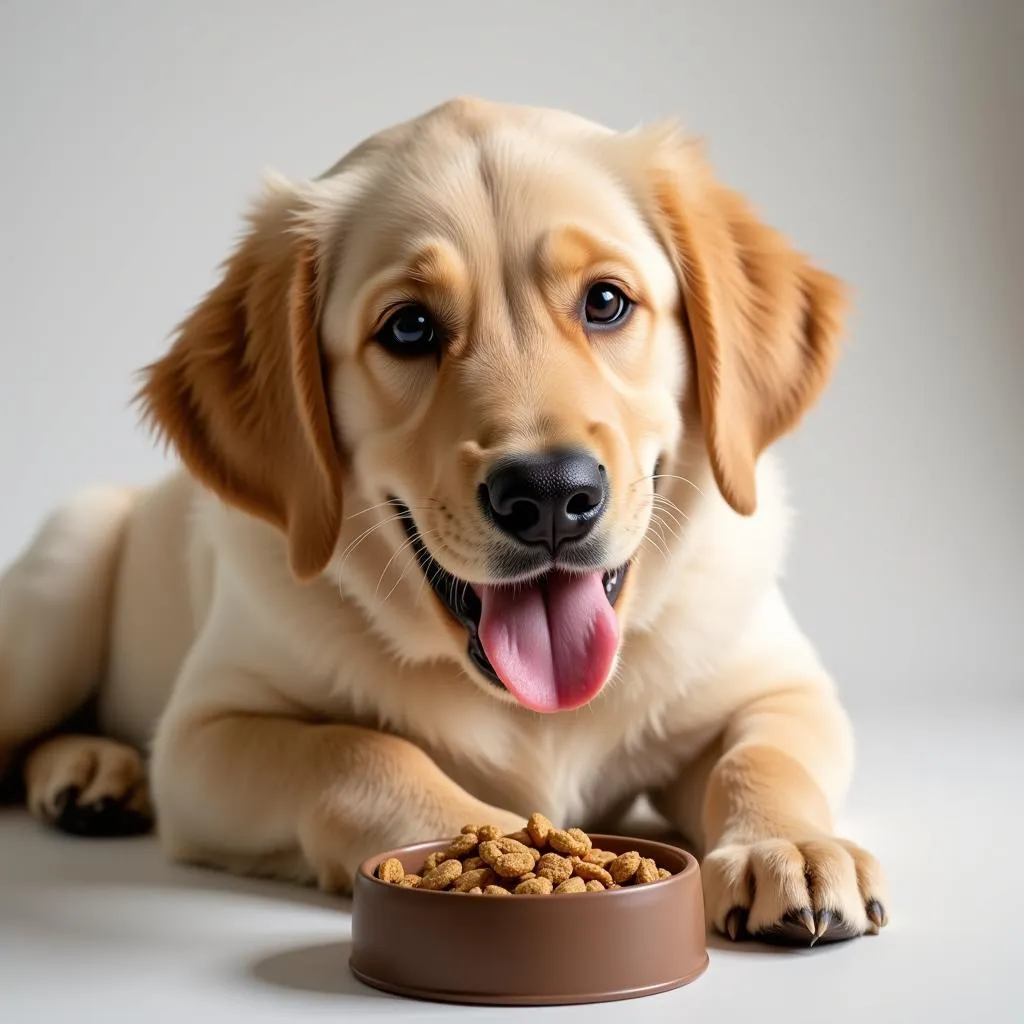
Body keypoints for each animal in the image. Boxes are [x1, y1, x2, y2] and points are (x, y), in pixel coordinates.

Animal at [0, 97, 888, 942]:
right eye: (409, 326)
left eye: (606, 301)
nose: (549, 493)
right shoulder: (202, 736)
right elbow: (358, 751)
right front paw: (503, 848)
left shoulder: (778, 684)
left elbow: (765, 756)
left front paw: (790, 846)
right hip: (59, 586)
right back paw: (90, 766)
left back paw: (91, 773)